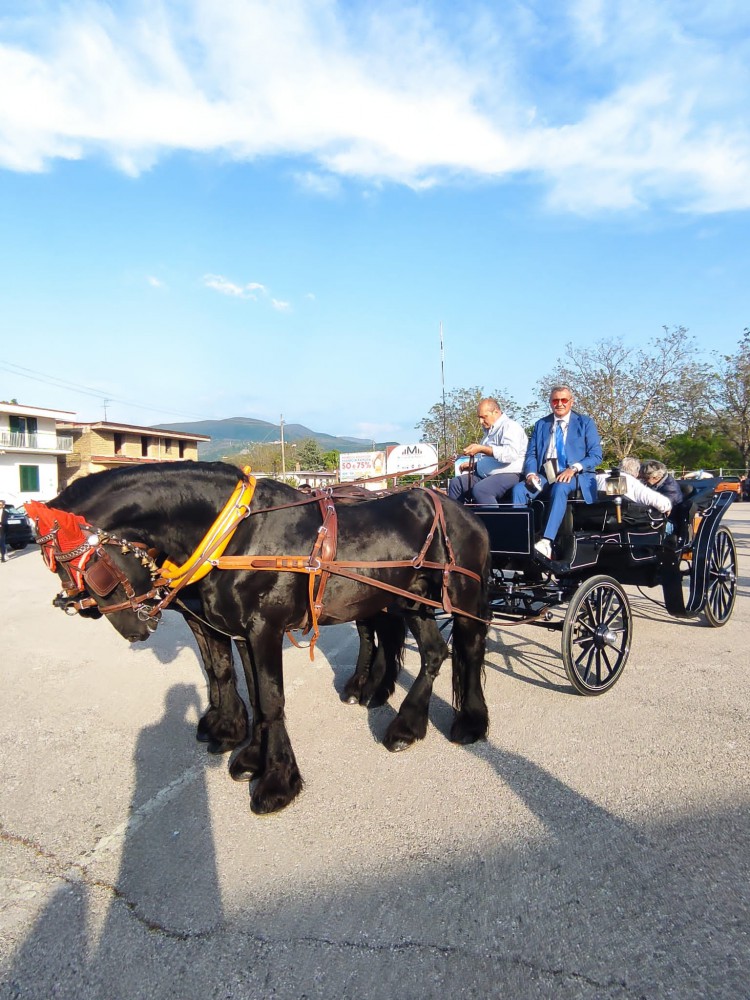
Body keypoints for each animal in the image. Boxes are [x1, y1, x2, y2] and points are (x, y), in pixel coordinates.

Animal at [33, 460, 494, 812]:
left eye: (90, 570)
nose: (134, 629)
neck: (233, 536)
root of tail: (460, 510)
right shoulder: (231, 629)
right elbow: (239, 683)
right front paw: (246, 749)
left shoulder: (263, 630)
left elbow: (271, 701)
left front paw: (276, 780)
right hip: (406, 600)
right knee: (429, 650)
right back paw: (403, 722)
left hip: (460, 596)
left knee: (468, 648)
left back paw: (468, 720)